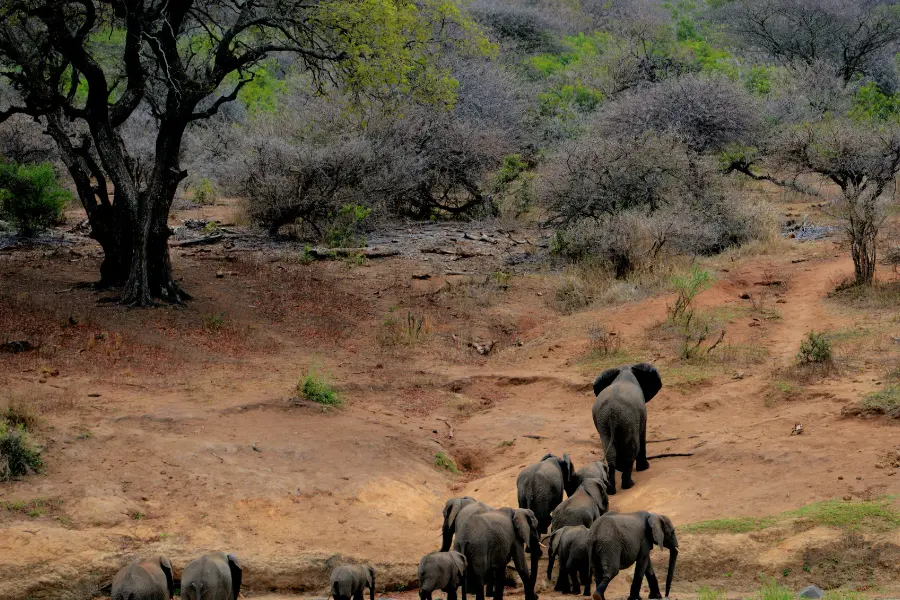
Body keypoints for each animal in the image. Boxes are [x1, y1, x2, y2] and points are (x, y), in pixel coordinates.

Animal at [591, 363, 662, 495]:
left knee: (610, 452)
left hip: (604, 421)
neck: (624, 370)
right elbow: (642, 435)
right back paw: (629, 485)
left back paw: (611, 490)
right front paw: (644, 468)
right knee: (632, 448)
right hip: (628, 419)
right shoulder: (641, 414)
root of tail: (612, 414)